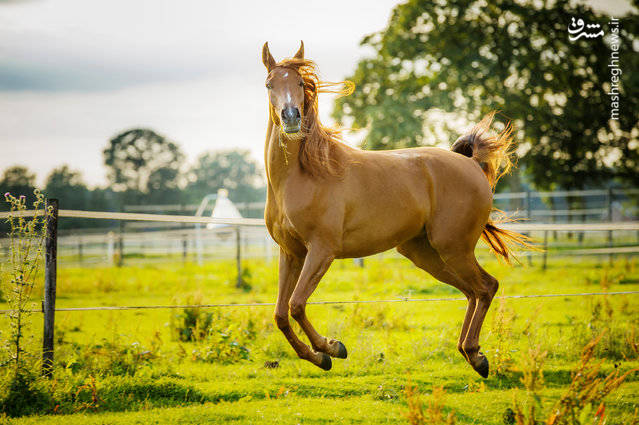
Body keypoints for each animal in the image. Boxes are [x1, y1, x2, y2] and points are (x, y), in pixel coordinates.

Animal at [260, 41, 528, 376]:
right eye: (269, 84)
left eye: (299, 83)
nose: (291, 117)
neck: (302, 175)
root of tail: (469, 163)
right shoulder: (291, 253)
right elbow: (280, 314)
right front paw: (319, 357)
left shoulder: (321, 250)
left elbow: (296, 305)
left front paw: (332, 348)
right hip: (425, 254)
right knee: (472, 291)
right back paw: (470, 353)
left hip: (453, 248)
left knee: (486, 287)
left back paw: (475, 355)